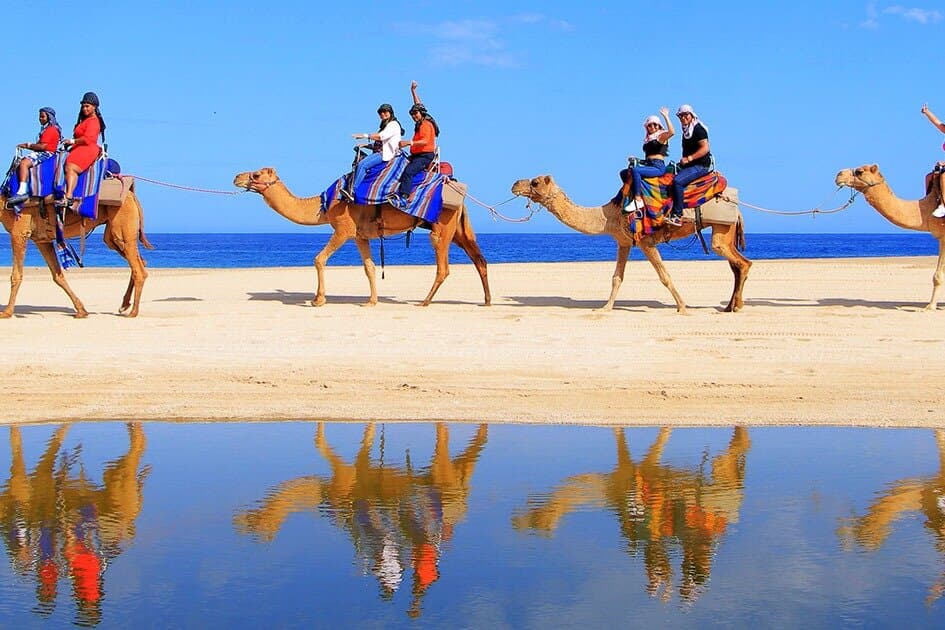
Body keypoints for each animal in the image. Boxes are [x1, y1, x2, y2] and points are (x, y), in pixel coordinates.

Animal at [1, 191, 153, 318]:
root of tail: (132, 195)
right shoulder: (42, 240)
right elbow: (58, 276)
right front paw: (81, 310)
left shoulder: (19, 232)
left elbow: (16, 275)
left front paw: (7, 312)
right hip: (113, 234)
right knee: (140, 261)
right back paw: (124, 305)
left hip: (122, 223)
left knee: (138, 269)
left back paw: (133, 312)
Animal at [233, 167, 490, 307]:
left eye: (256, 174)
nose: (236, 177)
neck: (324, 205)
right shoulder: (359, 236)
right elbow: (369, 267)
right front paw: (371, 301)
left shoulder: (343, 228)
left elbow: (319, 259)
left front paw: (318, 300)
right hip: (458, 229)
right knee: (479, 259)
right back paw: (487, 300)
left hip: (441, 227)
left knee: (443, 267)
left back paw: (425, 301)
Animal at [511, 175, 751, 313]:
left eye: (535, 182)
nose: (514, 185)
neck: (609, 214)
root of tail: (737, 206)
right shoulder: (623, 242)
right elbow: (617, 277)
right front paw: (605, 308)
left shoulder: (646, 241)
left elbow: (664, 275)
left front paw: (682, 307)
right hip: (725, 232)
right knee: (737, 265)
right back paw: (731, 306)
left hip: (721, 232)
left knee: (742, 263)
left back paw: (736, 307)